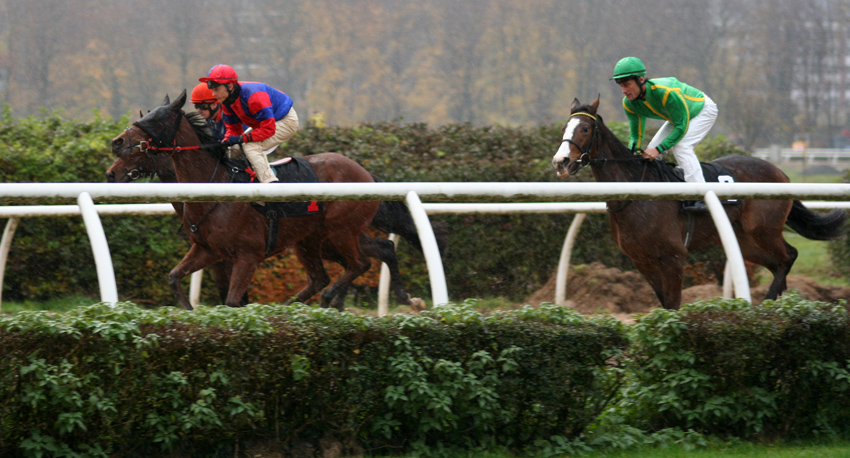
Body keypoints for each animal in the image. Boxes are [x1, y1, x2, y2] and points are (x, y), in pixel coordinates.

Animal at [103, 112, 444, 312]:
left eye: (144, 134)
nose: (110, 170)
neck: (215, 182)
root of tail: (365, 173)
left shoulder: (243, 254)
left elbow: (234, 298)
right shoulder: (211, 252)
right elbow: (181, 278)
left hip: (340, 230)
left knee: (357, 264)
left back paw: (332, 301)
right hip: (318, 239)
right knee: (368, 255)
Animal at [548, 98, 840, 310]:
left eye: (585, 128)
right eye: (563, 129)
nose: (560, 162)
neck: (637, 192)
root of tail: (781, 172)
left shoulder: (674, 256)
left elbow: (673, 304)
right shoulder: (642, 260)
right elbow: (664, 303)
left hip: (763, 230)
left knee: (789, 256)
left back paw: (767, 305)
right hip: (743, 239)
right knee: (778, 263)